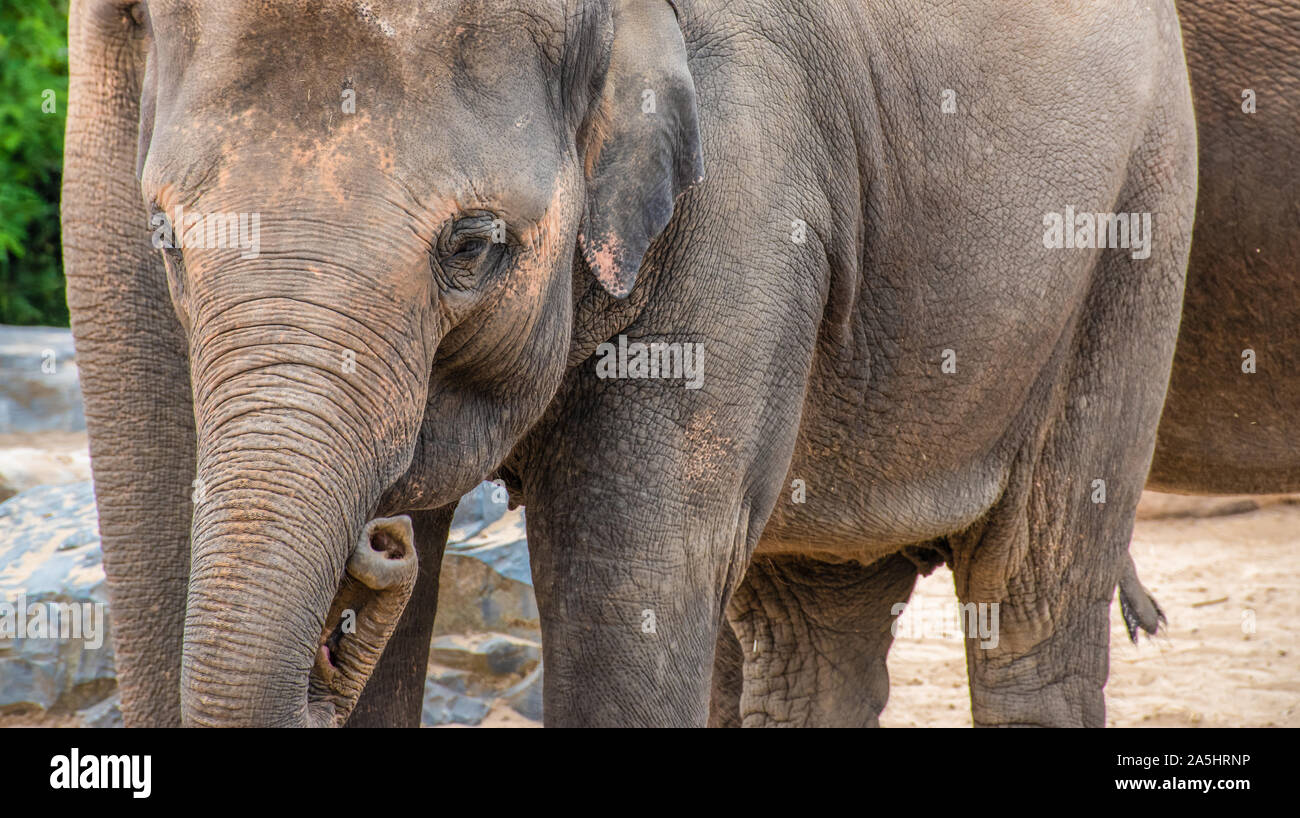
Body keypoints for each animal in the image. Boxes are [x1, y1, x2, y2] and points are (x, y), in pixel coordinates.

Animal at [62, 0, 1198, 727]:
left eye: (473, 246)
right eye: (166, 238)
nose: (372, 545)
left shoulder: (751, 175)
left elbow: (627, 591)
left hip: (1136, 224)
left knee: (1036, 602)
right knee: (809, 624)